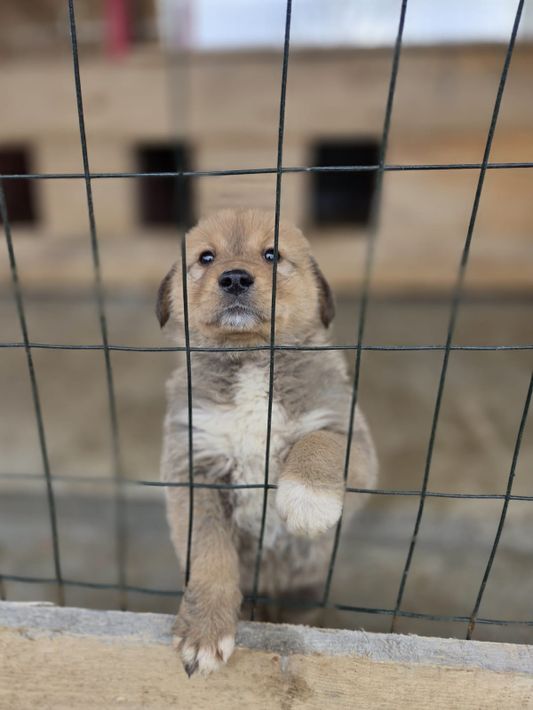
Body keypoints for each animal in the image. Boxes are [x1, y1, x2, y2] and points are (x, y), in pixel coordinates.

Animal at [157, 209, 377, 676]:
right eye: (206, 257)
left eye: (272, 254)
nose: (235, 278)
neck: (252, 360)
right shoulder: (194, 466)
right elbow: (210, 555)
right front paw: (205, 630)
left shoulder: (351, 435)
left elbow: (318, 440)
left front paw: (308, 502)